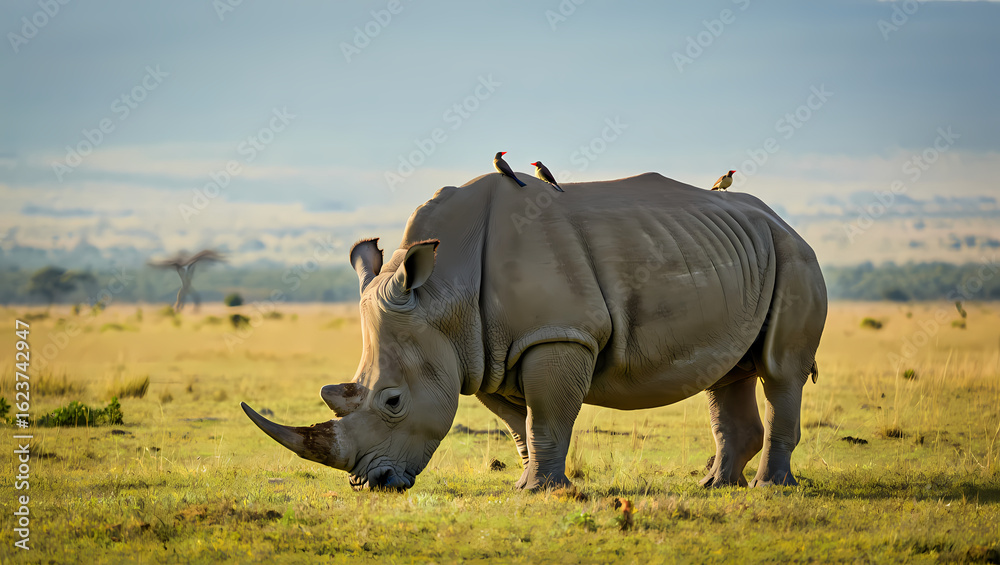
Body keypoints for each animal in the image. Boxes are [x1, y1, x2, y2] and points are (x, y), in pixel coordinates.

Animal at [242, 171, 827, 491]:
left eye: (392, 401)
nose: (370, 483)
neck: (442, 293)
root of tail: (783, 221)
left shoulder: (558, 333)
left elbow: (547, 415)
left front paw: (539, 491)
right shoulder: (482, 353)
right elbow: (519, 423)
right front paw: (528, 480)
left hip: (796, 257)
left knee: (781, 373)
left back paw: (769, 488)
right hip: (741, 252)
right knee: (727, 375)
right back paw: (715, 486)